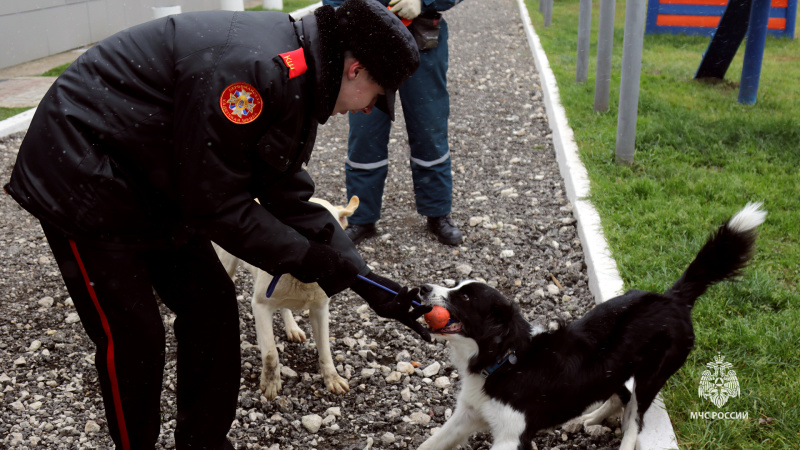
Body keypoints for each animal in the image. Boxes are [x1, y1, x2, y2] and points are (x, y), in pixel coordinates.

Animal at [216, 198, 360, 400]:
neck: (303, 277)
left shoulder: (320, 309)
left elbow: (325, 349)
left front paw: (332, 378)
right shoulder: (260, 305)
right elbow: (270, 352)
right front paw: (270, 383)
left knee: (284, 308)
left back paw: (292, 328)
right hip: (227, 265)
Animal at [416, 205, 764, 450]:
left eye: (463, 297)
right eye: (455, 285)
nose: (421, 288)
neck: (503, 360)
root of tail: (671, 298)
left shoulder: (511, 436)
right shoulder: (467, 415)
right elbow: (430, 443)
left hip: (653, 375)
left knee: (634, 419)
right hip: (614, 369)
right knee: (620, 394)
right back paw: (587, 418)